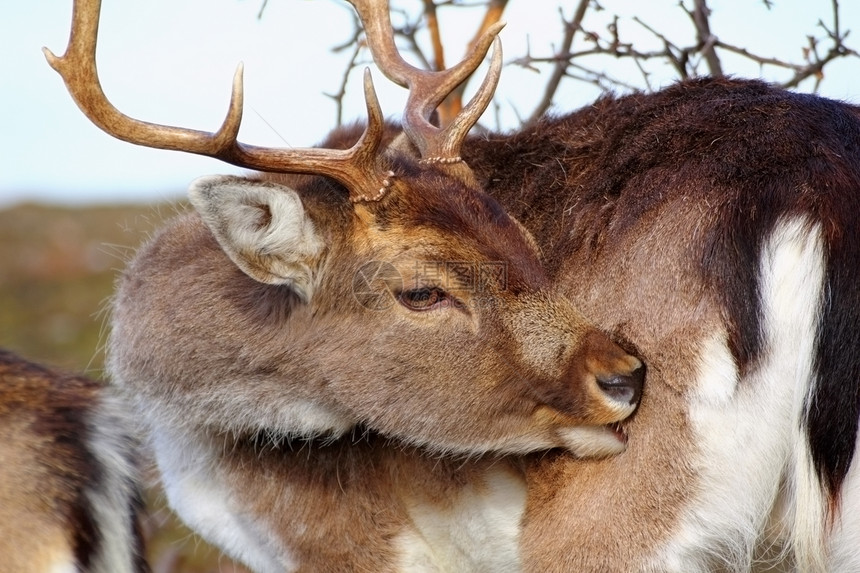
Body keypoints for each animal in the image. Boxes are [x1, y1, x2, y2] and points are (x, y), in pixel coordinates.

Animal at [43, 1, 860, 572]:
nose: (625, 375)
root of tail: (817, 193)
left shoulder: (346, 543)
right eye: (422, 291)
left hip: (620, 520)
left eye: (526, 238)